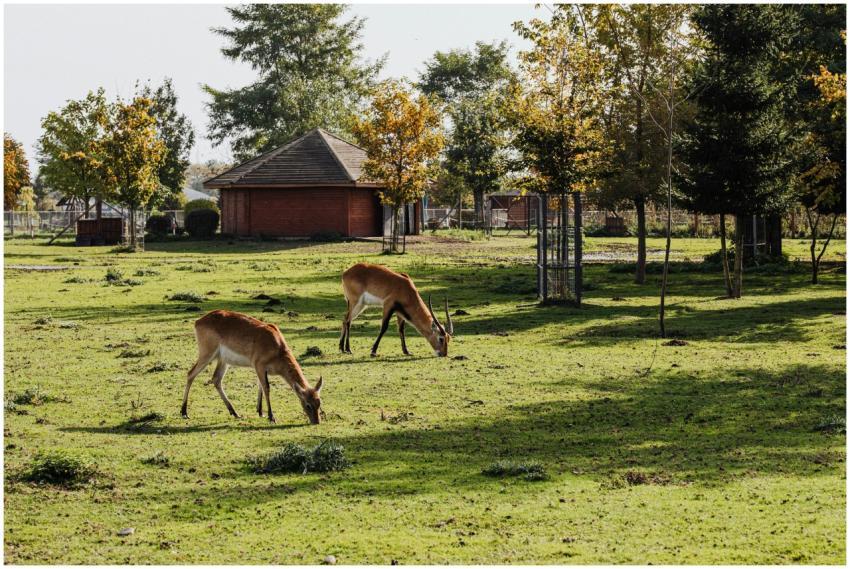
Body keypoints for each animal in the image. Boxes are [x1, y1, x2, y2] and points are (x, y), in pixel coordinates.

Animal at [181, 310, 323, 424]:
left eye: (319, 402)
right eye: (308, 405)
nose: (316, 422)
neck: (277, 347)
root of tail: (199, 321)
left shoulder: (261, 370)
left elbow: (260, 385)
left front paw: (260, 412)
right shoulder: (259, 366)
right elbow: (266, 388)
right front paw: (271, 417)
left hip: (223, 361)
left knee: (216, 379)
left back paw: (235, 413)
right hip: (207, 355)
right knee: (191, 374)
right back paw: (184, 412)